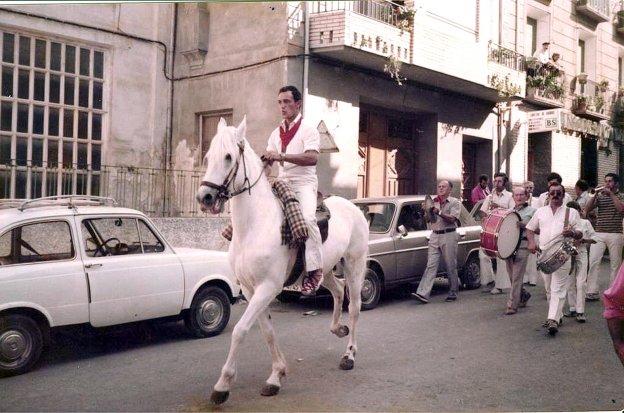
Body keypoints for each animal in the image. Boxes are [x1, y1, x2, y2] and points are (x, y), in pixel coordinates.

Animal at [197, 117, 368, 404]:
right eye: (208, 157)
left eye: (229, 157)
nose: (204, 198)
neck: (254, 226)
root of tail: (354, 207)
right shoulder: (251, 289)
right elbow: (267, 332)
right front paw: (277, 375)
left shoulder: (267, 287)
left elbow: (240, 330)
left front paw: (223, 385)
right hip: (324, 270)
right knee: (337, 290)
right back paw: (337, 329)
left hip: (355, 265)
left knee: (354, 307)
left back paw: (350, 354)